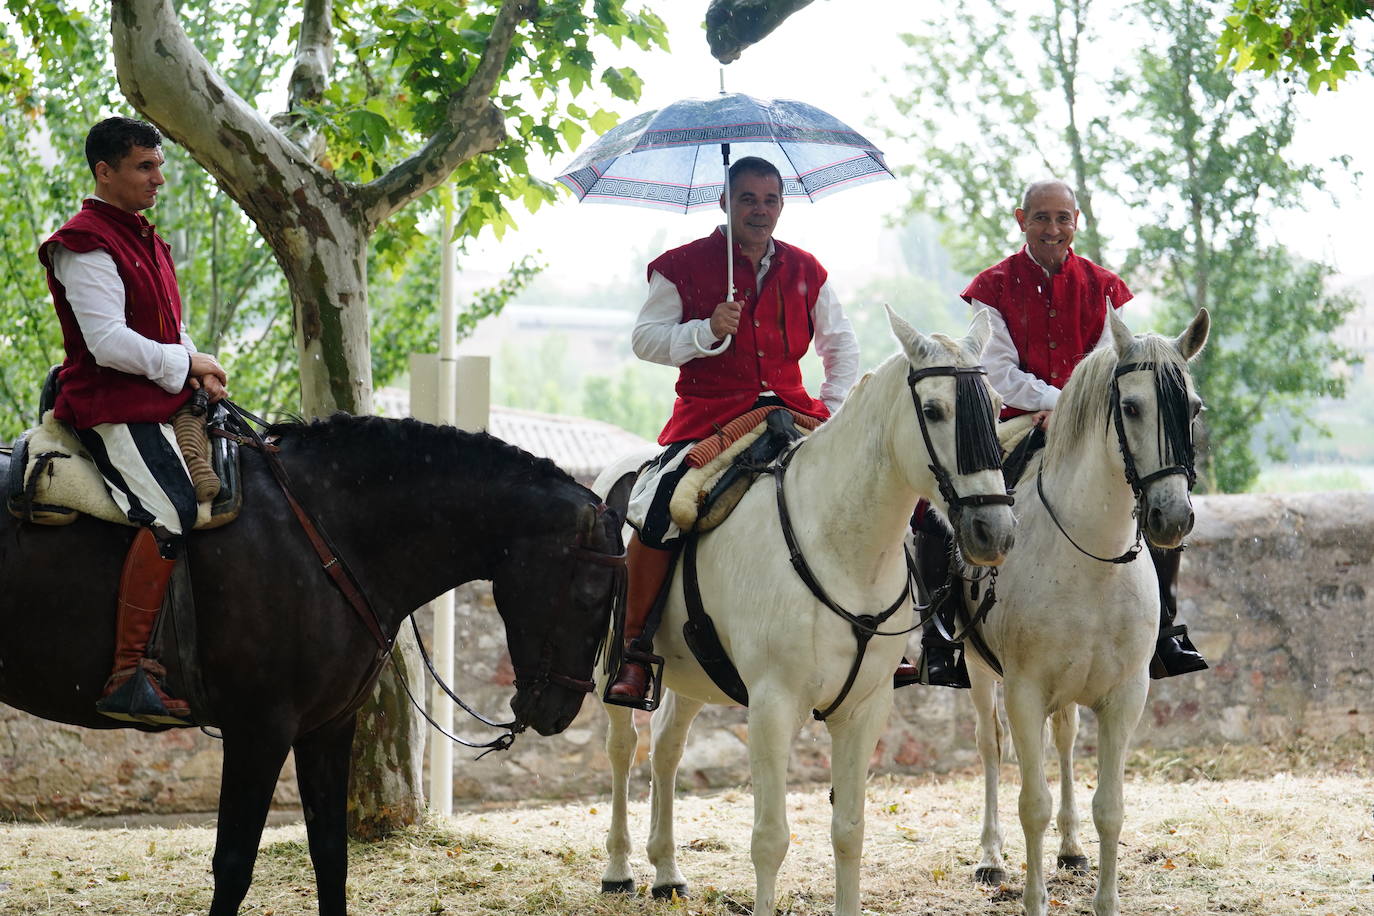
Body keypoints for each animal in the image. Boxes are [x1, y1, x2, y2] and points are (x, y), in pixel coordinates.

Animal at [0, 414, 623, 916]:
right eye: (591, 593)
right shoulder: (258, 732)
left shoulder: (327, 728)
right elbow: (233, 864)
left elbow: (330, 854)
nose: (559, 711)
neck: (326, 534)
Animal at [593, 310, 1022, 916]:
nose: (994, 531)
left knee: (667, 749)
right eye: (935, 409)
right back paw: (619, 867)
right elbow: (770, 838)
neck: (840, 548)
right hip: (610, 666)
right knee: (622, 746)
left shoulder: (864, 709)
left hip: (690, 673)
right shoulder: (772, 707)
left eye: (994, 404)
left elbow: (849, 830)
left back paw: (667, 870)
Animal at [961, 307, 1209, 916]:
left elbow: (1110, 808)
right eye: (1131, 406)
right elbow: (1032, 802)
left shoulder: (1125, 696)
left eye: (1193, 408)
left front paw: (1103, 896)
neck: (1092, 558)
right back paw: (990, 856)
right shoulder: (1024, 691)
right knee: (989, 745)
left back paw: (1070, 849)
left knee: (1067, 739)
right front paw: (1034, 900)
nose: (1172, 517)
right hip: (978, 670)